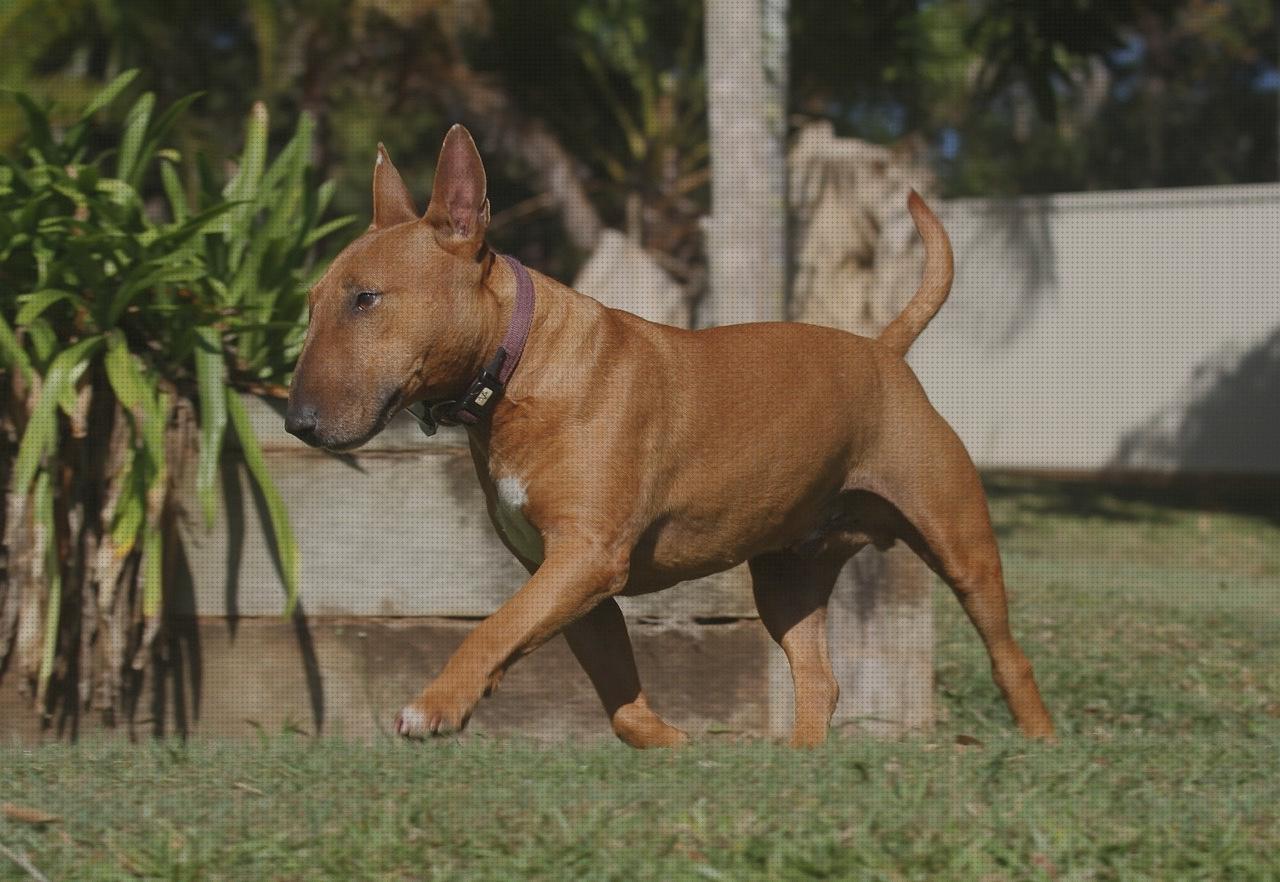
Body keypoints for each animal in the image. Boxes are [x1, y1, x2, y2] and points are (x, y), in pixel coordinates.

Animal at [288, 122, 1049, 742]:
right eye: (312, 302)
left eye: (366, 299)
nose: (296, 422)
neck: (520, 366)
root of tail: (883, 350)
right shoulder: (568, 582)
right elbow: (620, 707)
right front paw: (679, 745)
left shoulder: (586, 559)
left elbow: (494, 628)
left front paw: (437, 705)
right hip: (787, 579)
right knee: (819, 679)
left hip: (961, 545)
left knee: (1009, 657)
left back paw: (1039, 742)